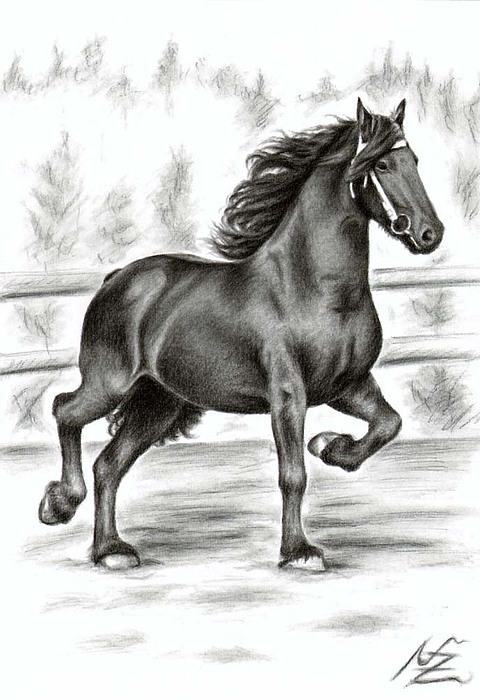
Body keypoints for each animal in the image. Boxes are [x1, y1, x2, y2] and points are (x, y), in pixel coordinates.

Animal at [38, 98, 444, 570]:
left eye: (414, 161)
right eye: (381, 164)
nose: (430, 233)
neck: (313, 286)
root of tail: (117, 277)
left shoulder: (348, 385)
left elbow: (388, 424)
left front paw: (330, 446)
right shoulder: (288, 396)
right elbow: (293, 476)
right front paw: (299, 552)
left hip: (160, 403)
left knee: (108, 465)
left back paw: (110, 550)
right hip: (110, 384)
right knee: (65, 410)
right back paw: (60, 505)